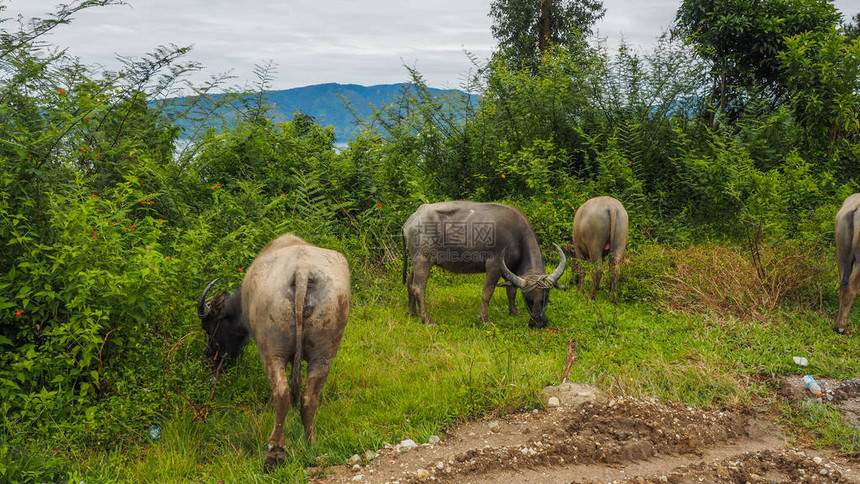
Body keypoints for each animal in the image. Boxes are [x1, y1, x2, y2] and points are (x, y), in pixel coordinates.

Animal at [197, 233, 352, 468]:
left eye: (209, 327)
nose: (210, 359)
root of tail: (302, 271)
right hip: (325, 352)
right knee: (309, 396)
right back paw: (311, 443)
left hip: (272, 351)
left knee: (281, 393)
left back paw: (275, 452)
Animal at [402, 199, 564, 328]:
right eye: (527, 298)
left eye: (546, 297)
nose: (538, 323)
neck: (517, 237)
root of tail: (411, 219)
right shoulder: (494, 266)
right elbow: (487, 293)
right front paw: (484, 319)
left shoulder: (511, 270)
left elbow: (511, 291)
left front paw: (514, 313)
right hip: (423, 260)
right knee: (418, 288)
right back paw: (427, 320)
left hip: (415, 261)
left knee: (410, 282)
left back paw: (412, 313)